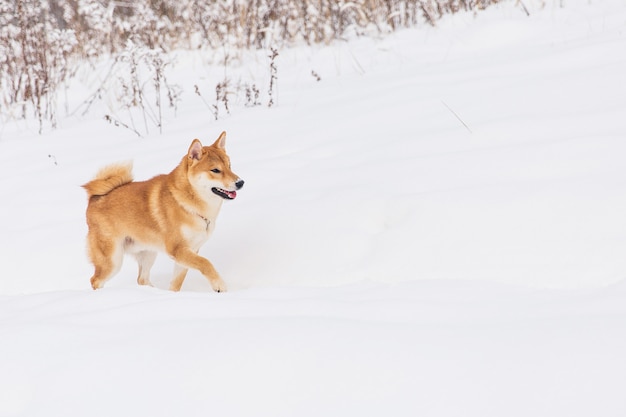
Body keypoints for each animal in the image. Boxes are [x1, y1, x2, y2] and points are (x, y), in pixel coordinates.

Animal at [81, 132, 241, 290]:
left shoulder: (191, 250)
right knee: (95, 280)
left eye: (230, 166)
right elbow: (206, 263)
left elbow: (176, 283)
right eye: (215, 170)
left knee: (142, 279)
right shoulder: (177, 249)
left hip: (147, 253)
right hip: (112, 260)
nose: (241, 182)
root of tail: (94, 198)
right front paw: (219, 285)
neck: (188, 205)